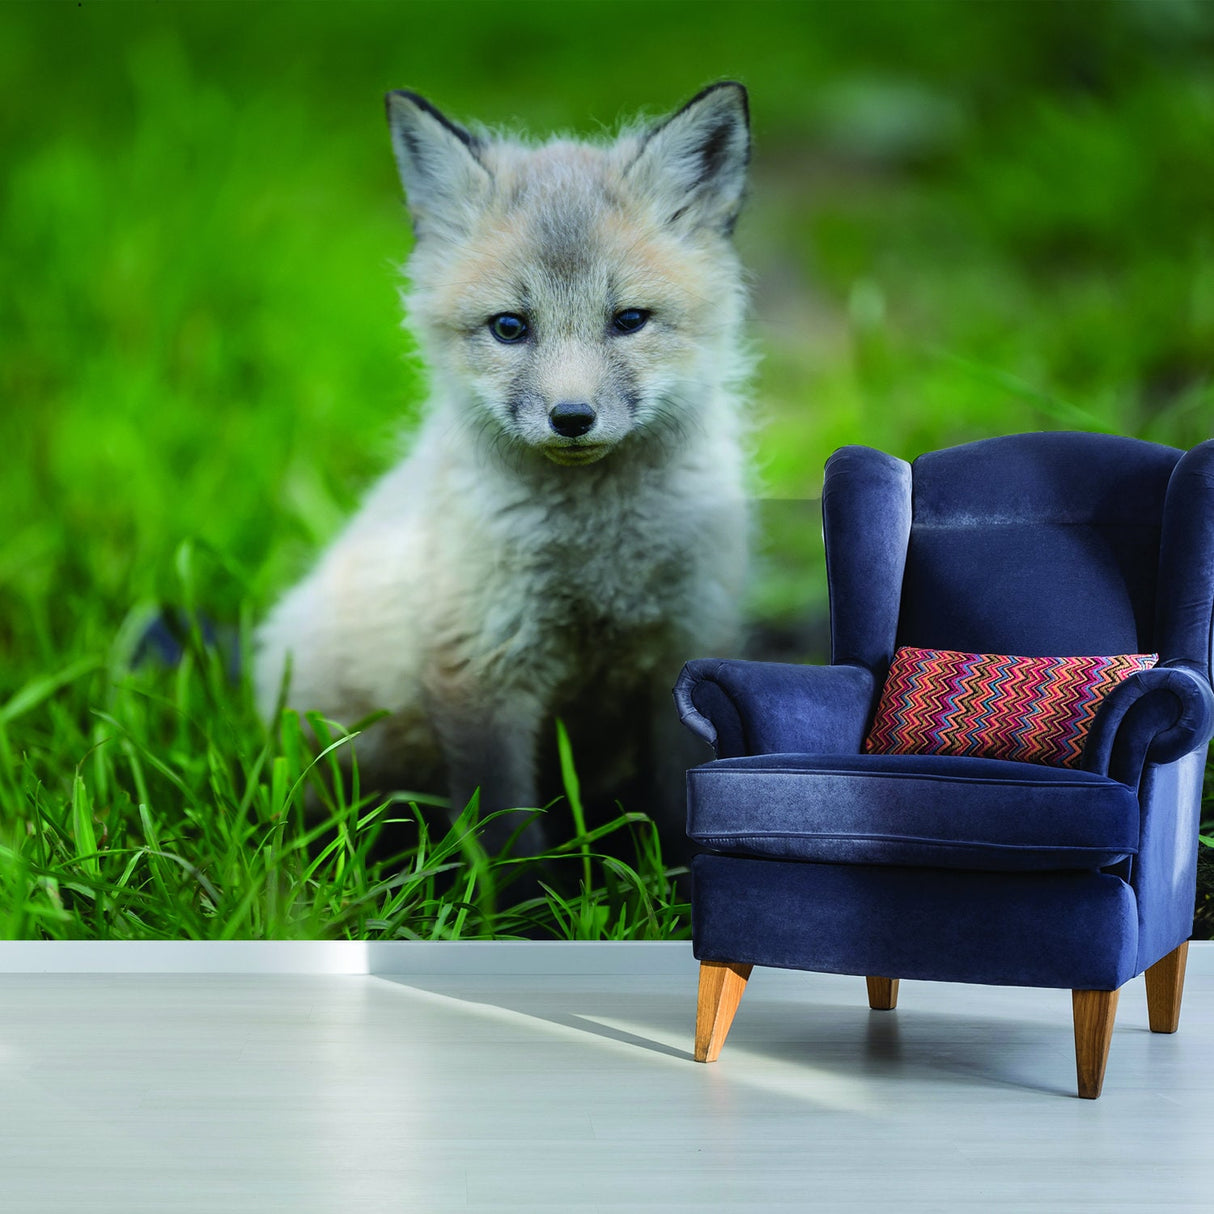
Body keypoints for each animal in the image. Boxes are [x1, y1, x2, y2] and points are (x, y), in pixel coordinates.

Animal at [253, 82, 754, 859]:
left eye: (630, 320)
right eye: (510, 328)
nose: (572, 417)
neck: (598, 551)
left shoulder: (688, 643)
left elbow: (681, 805)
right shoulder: (481, 668)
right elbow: (505, 833)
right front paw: (517, 896)